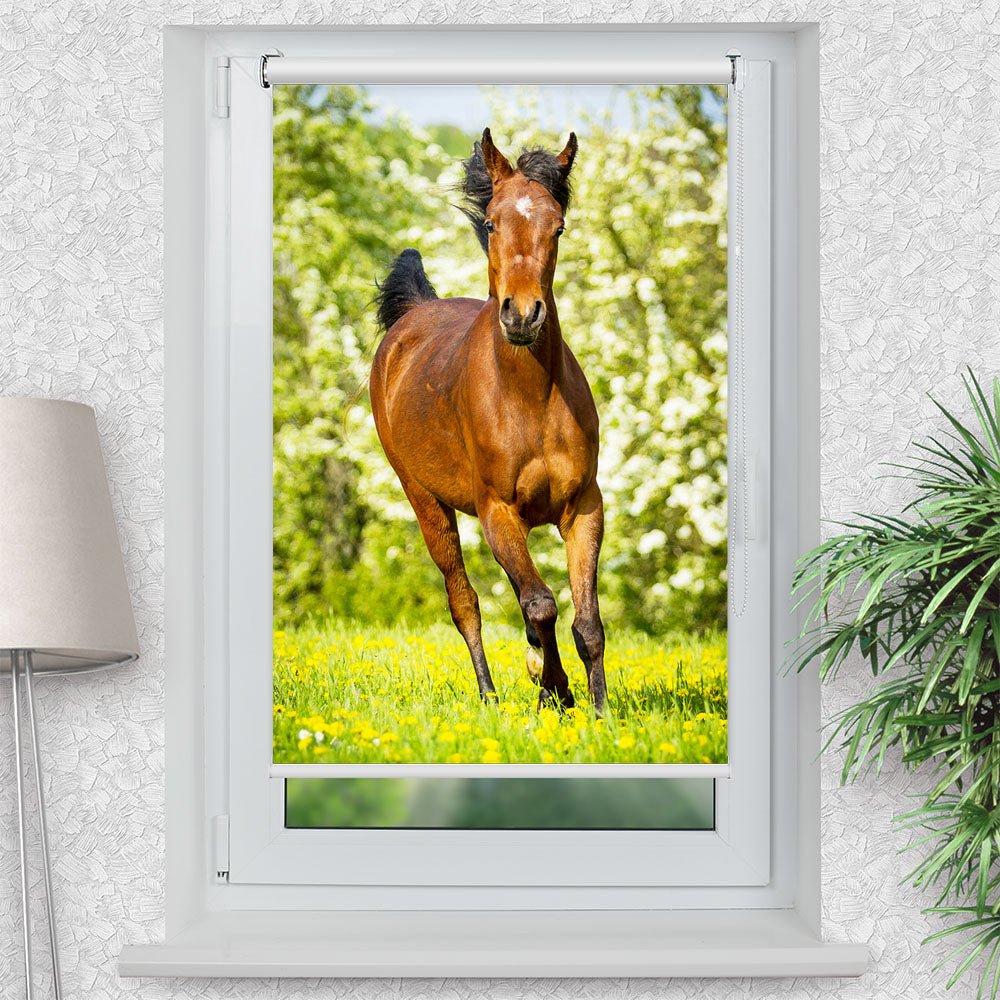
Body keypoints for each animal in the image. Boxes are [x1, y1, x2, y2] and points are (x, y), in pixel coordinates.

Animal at [369, 128, 606, 715]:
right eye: (494, 222)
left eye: (558, 225)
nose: (522, 315)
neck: (530, 399)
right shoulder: (498, 511)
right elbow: (541, 603)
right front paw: (555, 691)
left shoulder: (584, 507)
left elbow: (586, 621)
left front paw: (599, 709)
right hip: (424, 500)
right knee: (464, 602)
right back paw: (489, 694)